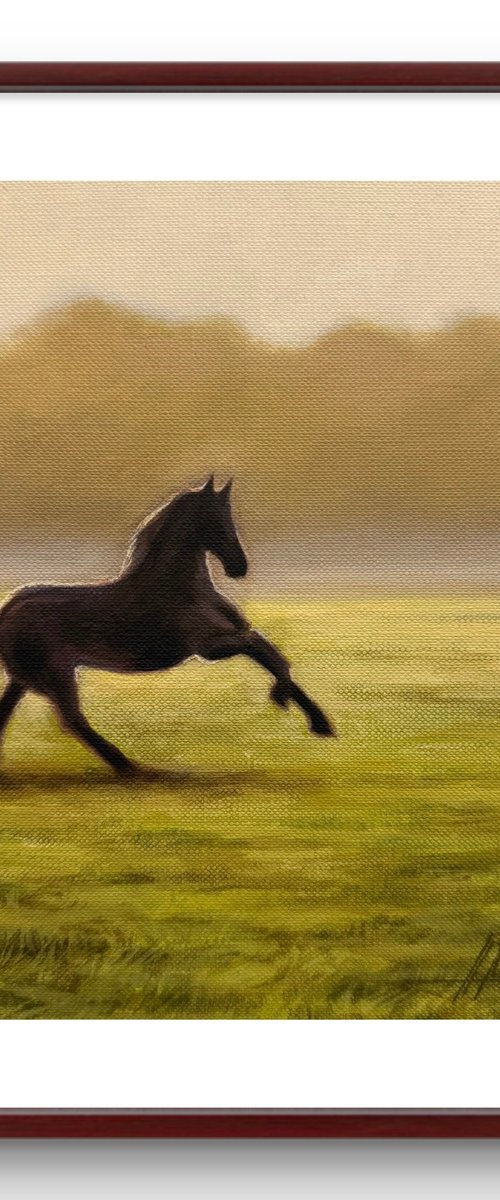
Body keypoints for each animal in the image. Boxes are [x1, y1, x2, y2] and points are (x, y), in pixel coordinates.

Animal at [0, 476, 335, 776]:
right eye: (217, 519)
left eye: (229, 517)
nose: (239, 567)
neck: (180, 588)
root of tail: (9, 608)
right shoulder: (211, 647)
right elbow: (263, 650)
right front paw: (287, 702)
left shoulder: (232, 635)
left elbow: (269, 653)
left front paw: (318, 722)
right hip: (56, 675)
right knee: (71, 718)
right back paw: (127, 766)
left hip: (26, 678)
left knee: (10, 713)